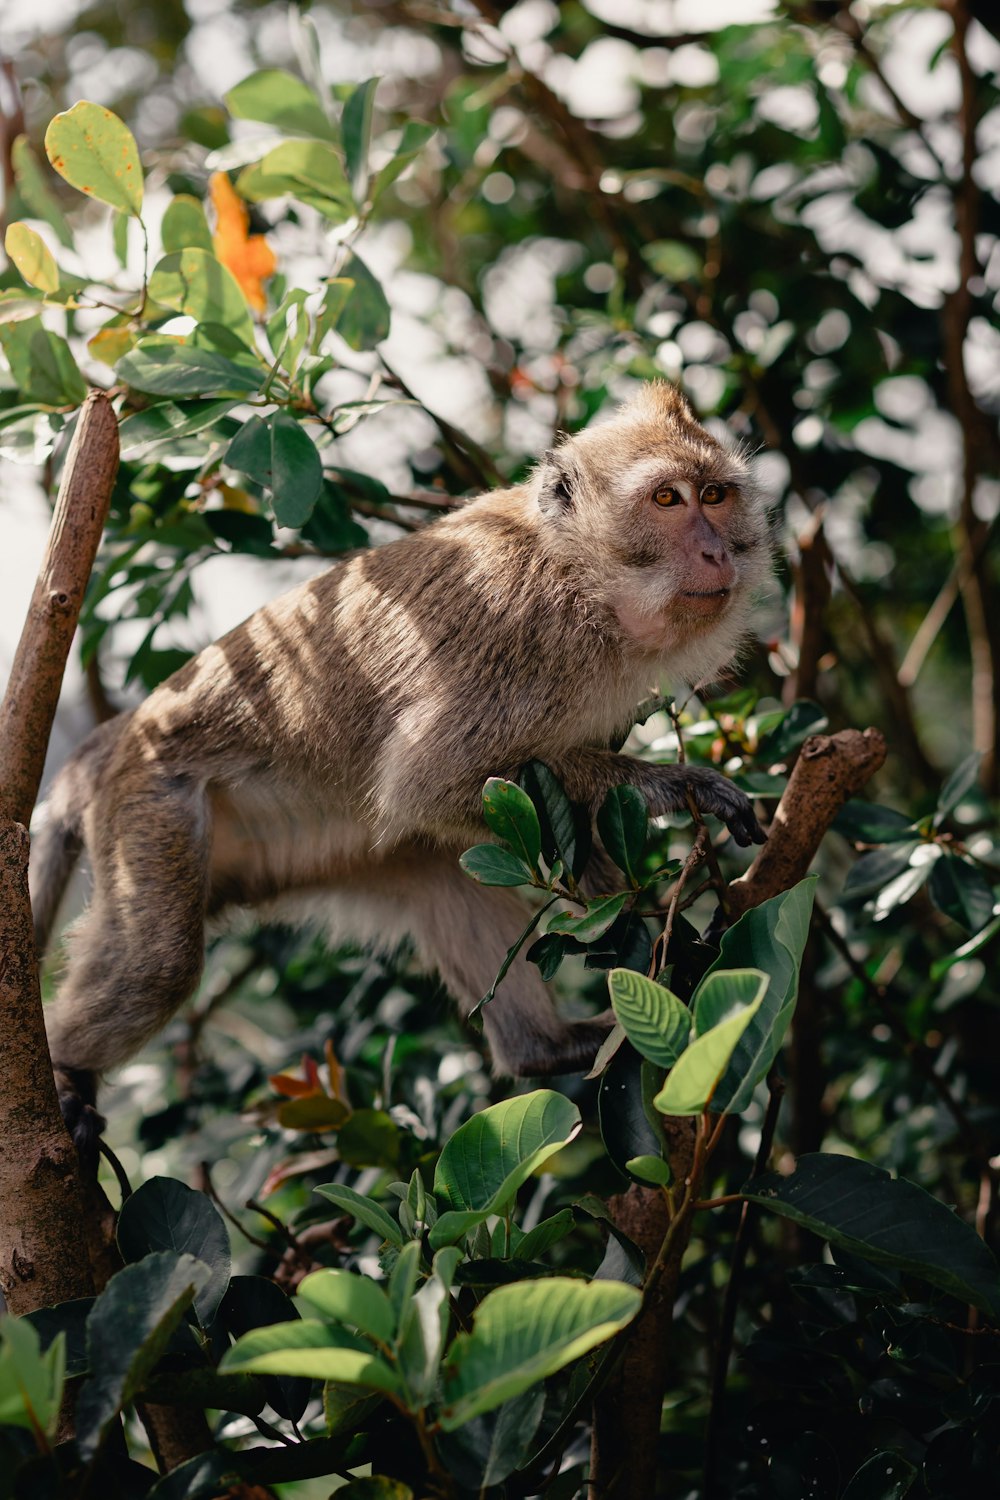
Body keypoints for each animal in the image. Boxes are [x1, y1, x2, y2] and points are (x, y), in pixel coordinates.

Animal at [29, 384, 767, 1146]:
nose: (717, 551)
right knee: (159, 964)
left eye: (715, 495)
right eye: (668, 500)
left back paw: (545, 1046)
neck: (581, 577)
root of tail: (119, 733)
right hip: (152, 803)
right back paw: (67, 1073)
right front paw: (681, 789)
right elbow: (428, 786)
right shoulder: (521, 642)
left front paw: (623, 911)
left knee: (442, 873)